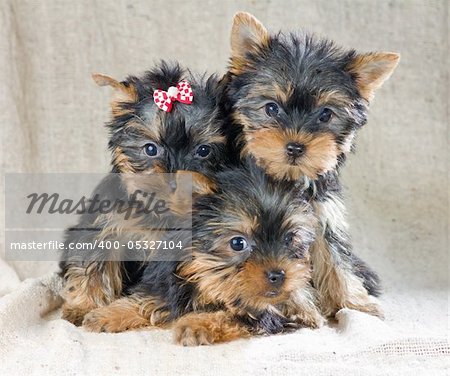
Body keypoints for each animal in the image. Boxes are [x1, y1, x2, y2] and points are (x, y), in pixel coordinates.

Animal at [59, 61, 229, 324]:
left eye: (203, 151)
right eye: (150, 149)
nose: (175, 182)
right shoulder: (107, 225)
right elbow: (94, 263)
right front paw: (83, 305)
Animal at [80, 163, 320, 346]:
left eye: (289, 239)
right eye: (238, 243)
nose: (278, 274)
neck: (207, 281)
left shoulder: (279, 311)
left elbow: (237, 315)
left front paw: (195, 324)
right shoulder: (169, 284)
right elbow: (150, 299)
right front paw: (106, 314)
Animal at [223, 11, 400, 318]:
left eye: (325, 114)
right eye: (271, 108)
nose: (295, 146)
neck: (289, 177)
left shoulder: (323, 215)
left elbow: (334, 257)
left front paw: (355, 303)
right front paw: (299, 306)